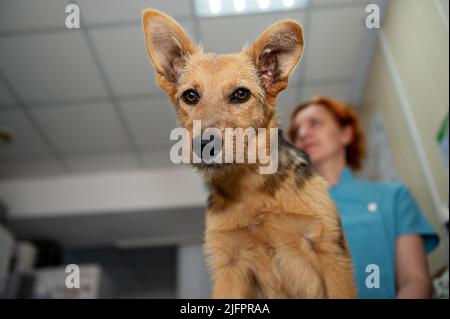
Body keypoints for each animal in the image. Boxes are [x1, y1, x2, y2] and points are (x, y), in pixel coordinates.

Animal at [142, 10, 356, 300]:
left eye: (241, 94)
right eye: (190, 95)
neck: (252, 188)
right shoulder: (229, 265)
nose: (203, 144)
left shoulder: (330, 252)